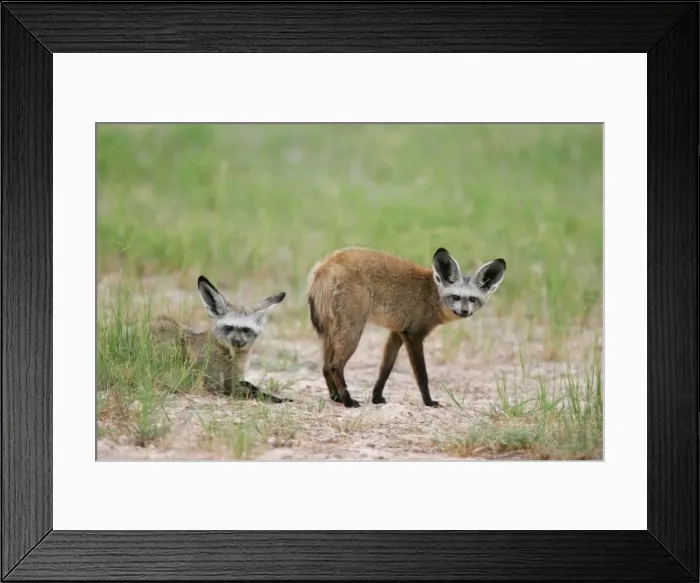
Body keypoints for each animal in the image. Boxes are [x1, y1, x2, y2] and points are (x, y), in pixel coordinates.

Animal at [151, 275, 292, 404]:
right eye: (229, 328)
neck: (231, 358)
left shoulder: (233, 381)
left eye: (246, 330)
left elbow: (251, 386)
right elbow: (249, 390)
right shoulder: (216, 386)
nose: (236, 341)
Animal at [306, 246, 506, 408]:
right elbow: (422, 376)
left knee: (325, 367)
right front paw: (428, 402)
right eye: (456, 297)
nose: (464, 311)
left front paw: (376, 398)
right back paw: (347, 401)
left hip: (331, 333)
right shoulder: (414, 335)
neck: (432, 295)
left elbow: (384, 371)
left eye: (472, 299)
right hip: (353, 332)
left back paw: (336, 398)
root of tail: (325, 264)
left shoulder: (397, 333)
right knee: (335, 367)